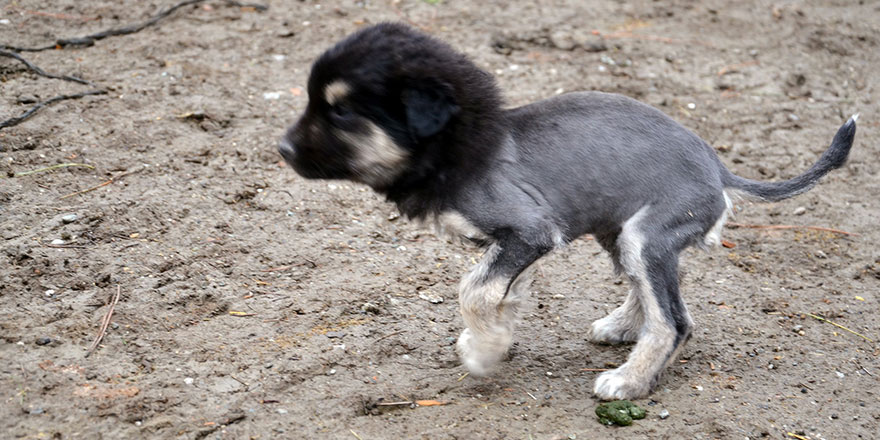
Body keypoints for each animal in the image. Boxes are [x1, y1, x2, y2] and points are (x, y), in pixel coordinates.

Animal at [278, 24, 856, 402]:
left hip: (647, 236)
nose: (281, 149)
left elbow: (474, 291)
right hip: (623, 233)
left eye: (341, 110)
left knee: (675, 321)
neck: (465, 145)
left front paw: (482, 352)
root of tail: (719, 170)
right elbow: (500, 293)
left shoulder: (530, 233)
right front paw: (493, 339)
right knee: (654, 289)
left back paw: (629, 382)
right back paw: (622, 325)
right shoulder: (515, 247)